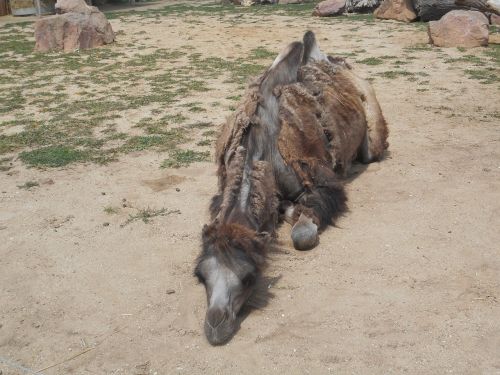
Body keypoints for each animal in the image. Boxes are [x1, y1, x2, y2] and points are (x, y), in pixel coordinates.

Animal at [193, 30, 388, 346]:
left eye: (249, 277)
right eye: (200, 275)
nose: (215, 327)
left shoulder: (321, 181)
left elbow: (302, 234)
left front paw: (294, 214)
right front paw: (284, 209)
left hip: (372, 126)